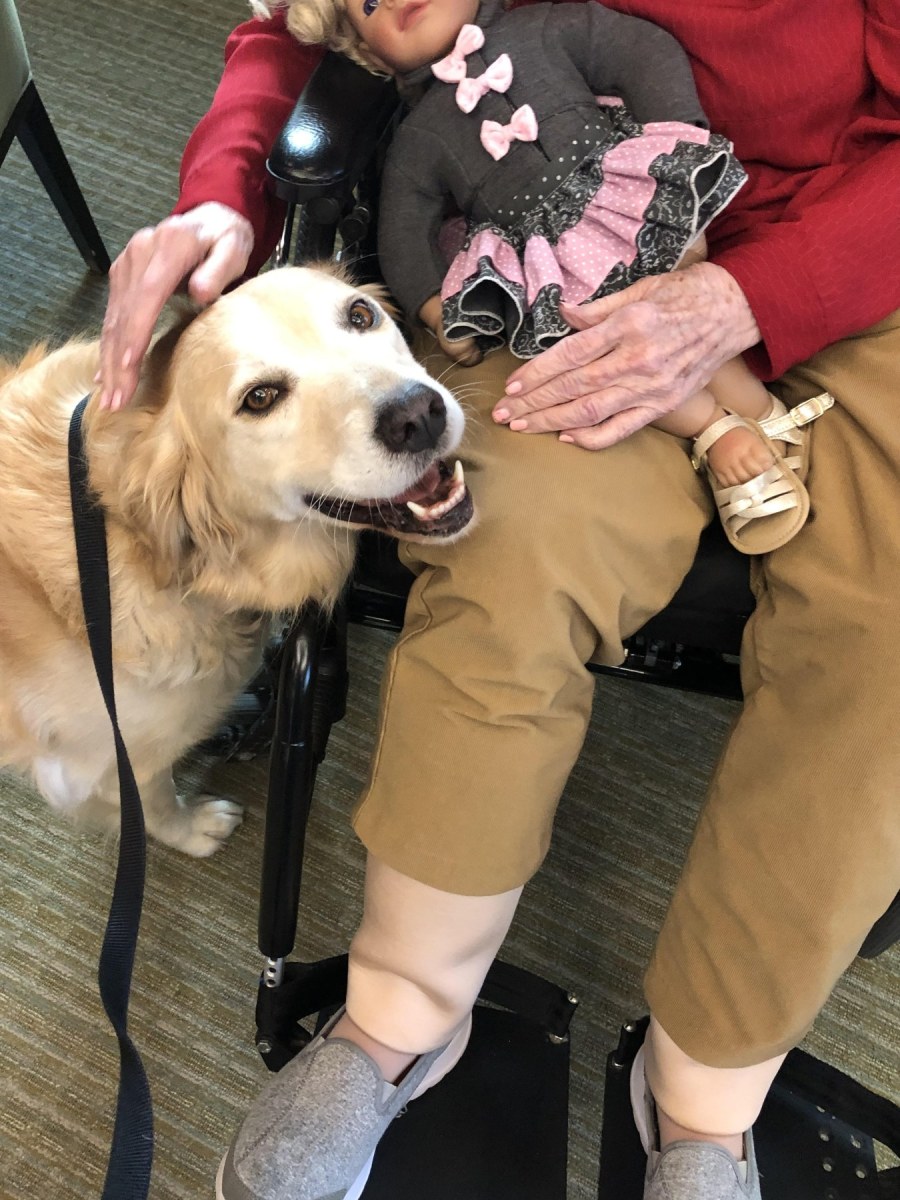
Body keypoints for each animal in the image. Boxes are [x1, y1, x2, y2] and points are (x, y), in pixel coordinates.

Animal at [0, 270, 475, 854]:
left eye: (361, 315)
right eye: (260, 398)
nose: (416, 414)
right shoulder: (106, 760)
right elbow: (153, 800)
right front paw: (190, 829)